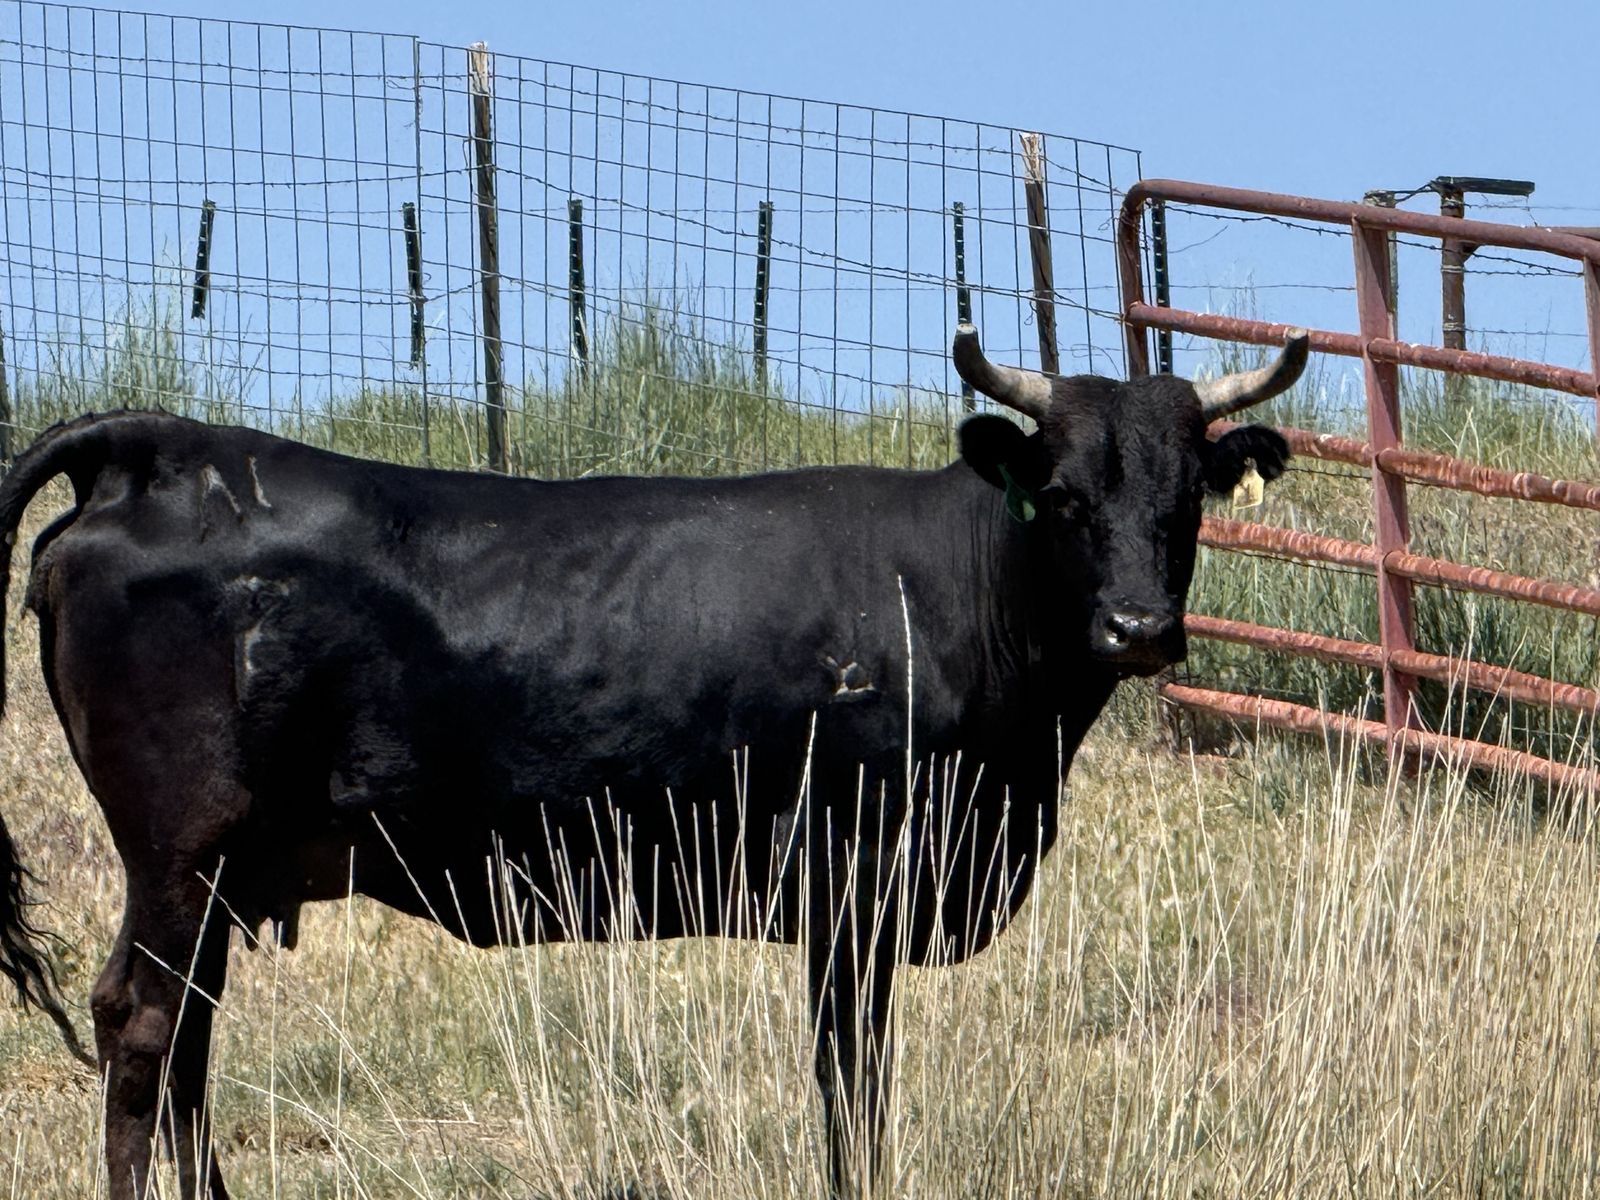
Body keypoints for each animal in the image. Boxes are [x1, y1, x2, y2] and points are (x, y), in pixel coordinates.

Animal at [0, 323, 1305, 1198]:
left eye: (1188, 499)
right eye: (1066, 496)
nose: (1140, 629)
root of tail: (160, 445)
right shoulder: (852, 888)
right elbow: (852, 1085)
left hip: (223, 871)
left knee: (188, 1039)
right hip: (182, 848)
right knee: (142, 1027)